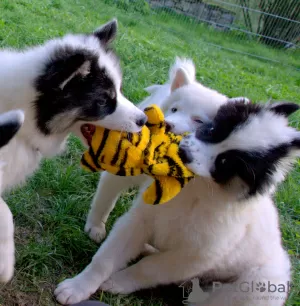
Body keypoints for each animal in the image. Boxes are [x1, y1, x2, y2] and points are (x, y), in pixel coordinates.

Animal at [56, 99, 298, 304]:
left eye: (225, 162)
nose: (182, 153)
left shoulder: (192, 258)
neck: (195, 190)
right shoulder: (140, 220)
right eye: (212, 130)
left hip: (256, 286)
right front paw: (78, 287)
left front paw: (118, 282)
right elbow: (105, 258)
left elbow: (149, 269)